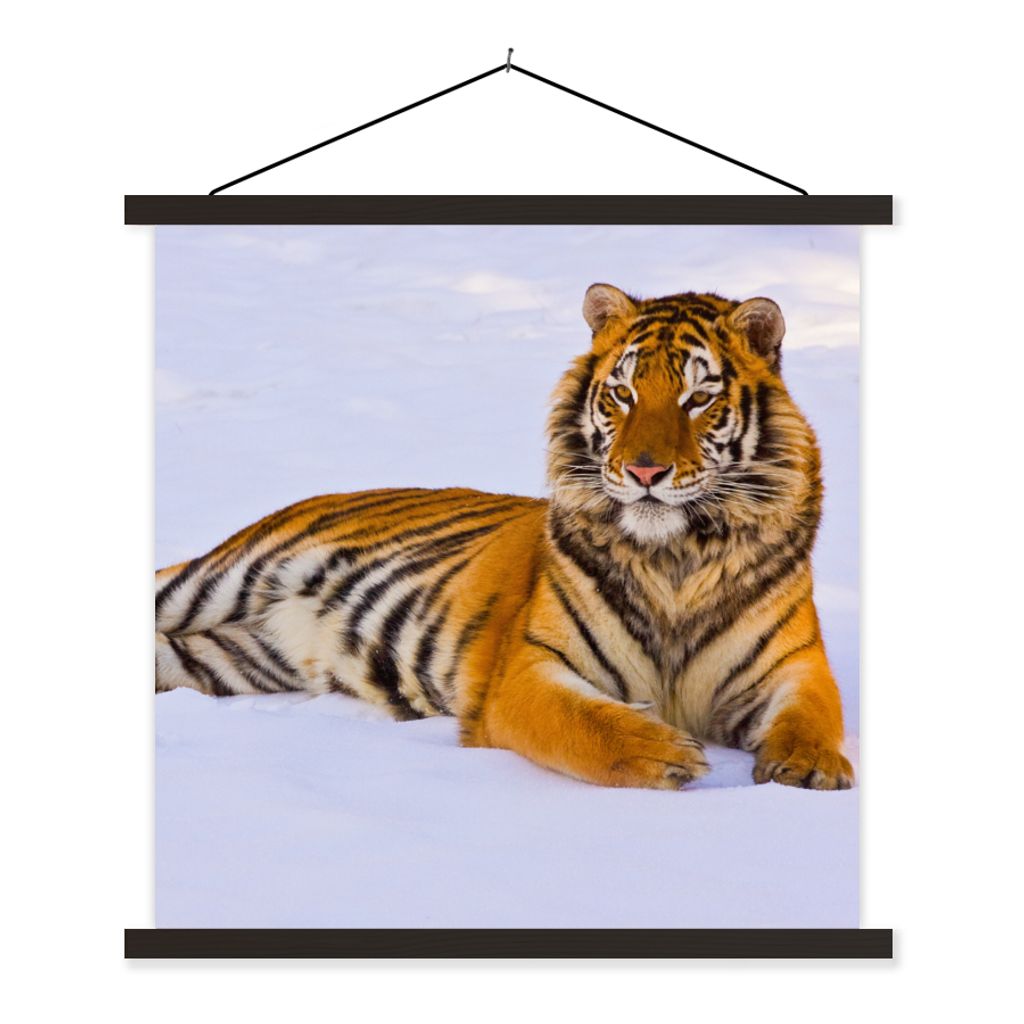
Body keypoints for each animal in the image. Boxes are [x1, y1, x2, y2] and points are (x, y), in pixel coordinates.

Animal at [155, 284, 853, 791]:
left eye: (697, 398)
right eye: (623, 394)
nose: (644, 471)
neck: (675, 556)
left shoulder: (793, 664)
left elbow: (815, 716)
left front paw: (811, 768)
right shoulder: (530, 667)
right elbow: (583, 723)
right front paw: (665, 752)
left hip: (227, 658)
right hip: (217, 578)